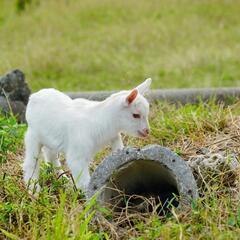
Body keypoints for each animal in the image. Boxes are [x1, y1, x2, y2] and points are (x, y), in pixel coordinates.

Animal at [22, 79, 152, 193]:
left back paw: (63, 180)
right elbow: (83, 179)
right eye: (136, 115)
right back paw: (33, 190)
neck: (104, 120)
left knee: (51, 156)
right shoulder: (78, 153)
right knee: (31, 163)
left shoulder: (114, 137)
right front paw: (89, 197)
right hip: (33, 136)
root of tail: (34, 96)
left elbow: (119, 151)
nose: (147, 131)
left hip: (51, 139)